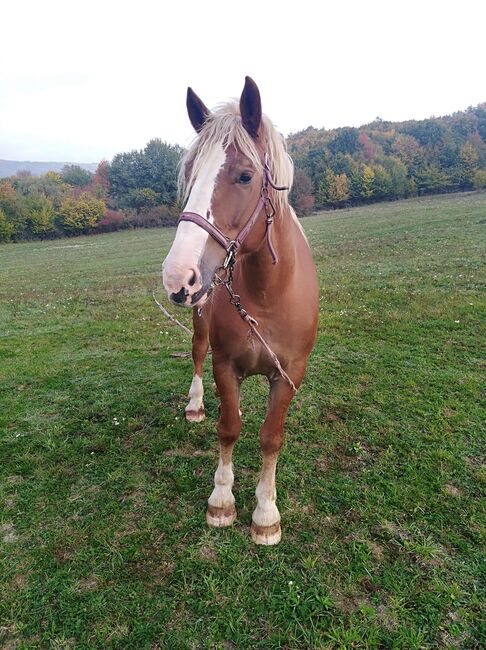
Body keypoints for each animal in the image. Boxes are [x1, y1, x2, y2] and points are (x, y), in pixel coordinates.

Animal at [161, 76, 318, 540]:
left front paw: (266, 514)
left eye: (245, 176)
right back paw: (195, 404)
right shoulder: (225, 363)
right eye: (190, 177)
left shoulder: (289, 375)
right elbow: (228, 428)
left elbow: (271, 437)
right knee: (196, 354)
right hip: (199, 325)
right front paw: (222, 501)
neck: (268, 297)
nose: (178, 277)